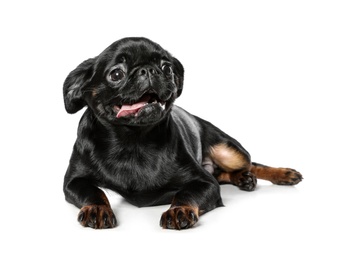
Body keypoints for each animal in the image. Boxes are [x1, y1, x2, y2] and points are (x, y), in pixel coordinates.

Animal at [63, 37, 302, 230]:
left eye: (167, 68)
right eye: (116, 73)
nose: (148, 70)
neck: (132, 141)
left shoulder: (205, 183)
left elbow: (185, 193)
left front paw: (179, 210)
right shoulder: (73, 182)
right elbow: (94, 191)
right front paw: (97, 208)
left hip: (230, 153)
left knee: (251, 164)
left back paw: (281, 174)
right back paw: (244, 179)